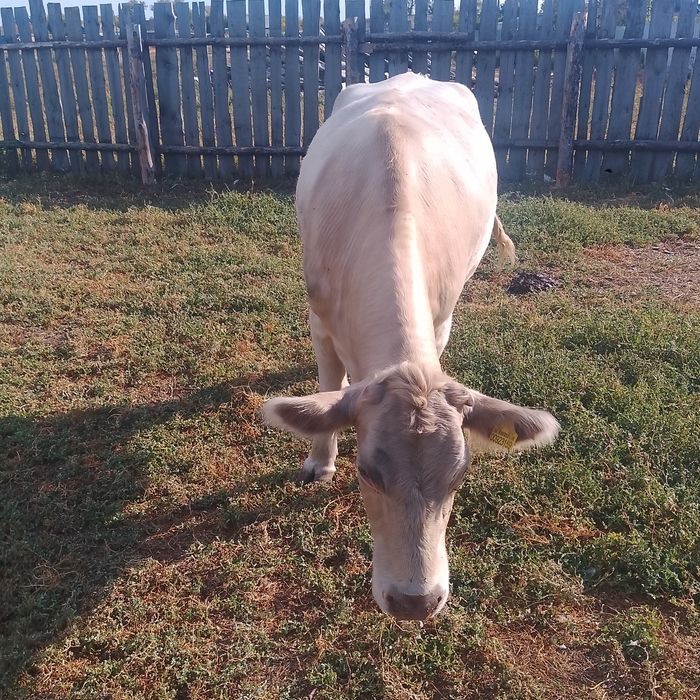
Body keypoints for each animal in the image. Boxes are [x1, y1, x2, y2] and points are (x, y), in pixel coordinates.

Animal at [263, 73, 559, 621]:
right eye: (366, 471)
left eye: (460, 474)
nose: (414, 601)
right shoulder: (318, 319)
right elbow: (328, 386)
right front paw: (319, 462)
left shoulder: (441, 318)